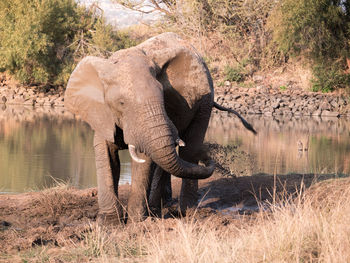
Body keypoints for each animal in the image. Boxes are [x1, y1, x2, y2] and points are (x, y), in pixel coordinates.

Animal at [63, 31, 254, 225]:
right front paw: (109, 223)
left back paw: (184, 211)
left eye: (163, 96)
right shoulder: (102, 113)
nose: (209, 155)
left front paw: (135, 222)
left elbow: (144, 159)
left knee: (189, 150)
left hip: (204, 103)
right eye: (121, 103)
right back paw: (160, 208)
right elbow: (106, 155)